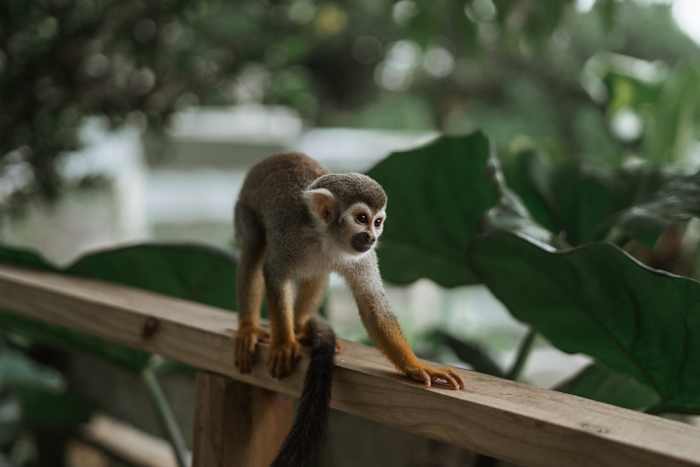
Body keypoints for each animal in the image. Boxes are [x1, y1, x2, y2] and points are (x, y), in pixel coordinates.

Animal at [233, 153, 464, 466]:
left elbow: (372, 304)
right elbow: (274, 274)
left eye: (378, 222)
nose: (372, 237)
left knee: (316, 273)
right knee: (255, 247)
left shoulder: (362, 257)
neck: (325, 238)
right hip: (244, 208)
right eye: (361, 219)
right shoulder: (289, 235)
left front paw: (416, 365)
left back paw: (301, 326)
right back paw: (251, 327)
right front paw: (283, 342)